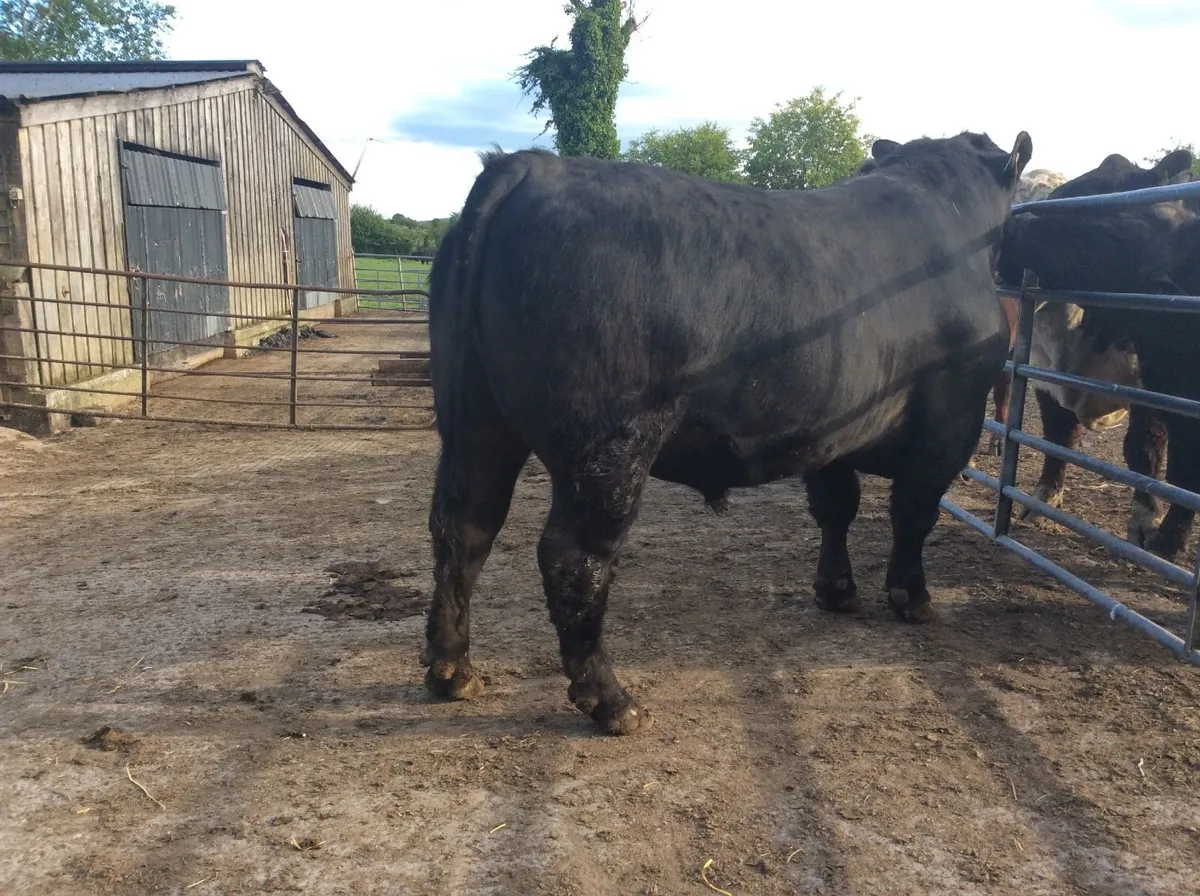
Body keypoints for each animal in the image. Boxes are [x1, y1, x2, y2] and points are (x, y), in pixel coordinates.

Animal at [423, 131, 1032, 734]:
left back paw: (452, 670)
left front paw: (837, 590)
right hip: (607, 447)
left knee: (464, 526)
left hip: (474, 421)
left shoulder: (832, 430)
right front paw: (913, 596)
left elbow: (837, 507)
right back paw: (611, 700)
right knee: (573, 557)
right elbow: (913, 513)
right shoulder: (951, 421)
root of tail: (533, 167)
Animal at [998, 150, 1199, 561]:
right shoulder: (1045, 373)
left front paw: (1149, 525)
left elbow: (1145, 450)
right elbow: (1057, 436)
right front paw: (1044, 499)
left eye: (1080, 199)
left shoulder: (1155, 384)